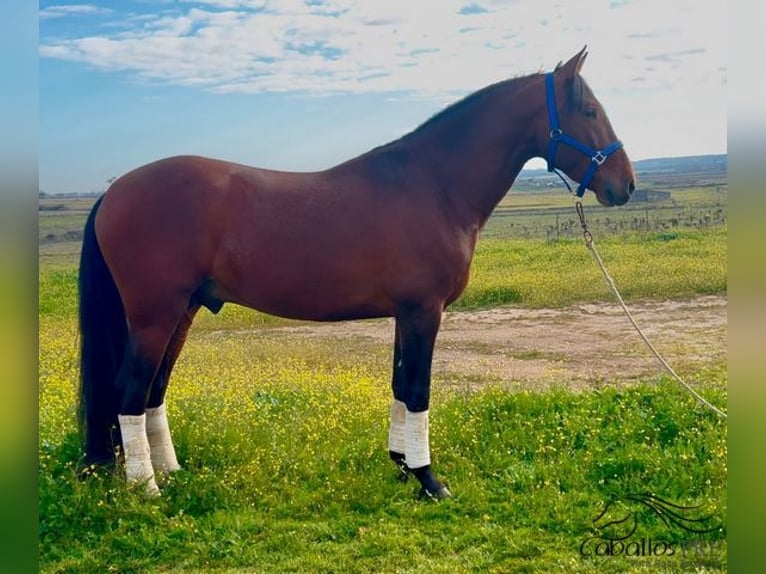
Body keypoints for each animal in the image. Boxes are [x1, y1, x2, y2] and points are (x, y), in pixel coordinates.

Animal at [81, 48, 640, 500]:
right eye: (589, 111)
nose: (626, 185)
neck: (434, 185)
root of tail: (113, 191)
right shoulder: (423, 312)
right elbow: (418, 390)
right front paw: (430, 480)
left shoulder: (405, 314)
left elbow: (399, 386)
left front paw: (402, 466)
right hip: (156, 315)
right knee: (130, 391)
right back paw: (147, 489)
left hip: (185, 311)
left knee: (153, 392)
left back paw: (171, 473)